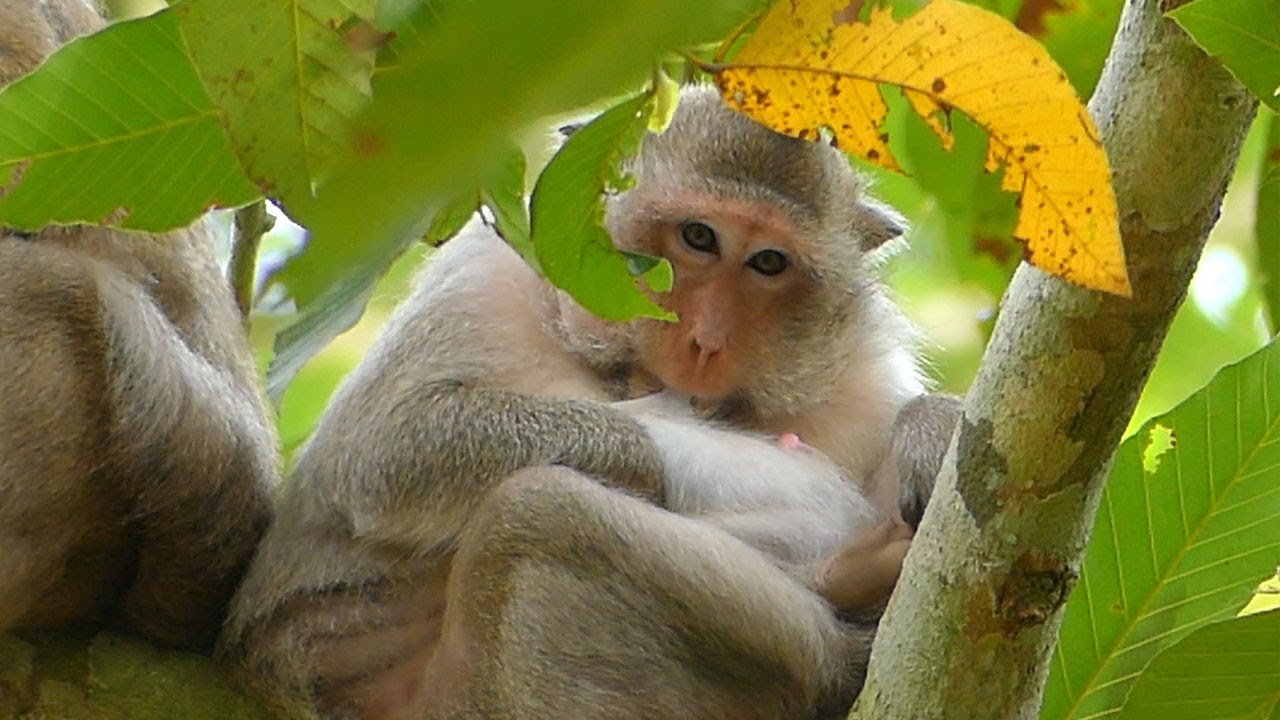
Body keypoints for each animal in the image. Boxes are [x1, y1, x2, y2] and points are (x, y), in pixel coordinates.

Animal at [219, 85, 961, 719]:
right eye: (698, 237)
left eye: (769, 263)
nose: (706, 341)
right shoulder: (491, 273)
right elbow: (386, 450)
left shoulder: (860, 365)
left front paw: (932, 430)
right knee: (539, 512)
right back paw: (844, 594)